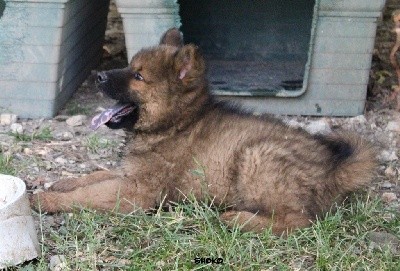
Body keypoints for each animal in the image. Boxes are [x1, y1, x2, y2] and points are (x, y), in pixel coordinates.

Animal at [32, 28, 378, 235]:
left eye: (139, 77)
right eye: (130, 67)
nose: (98, 76)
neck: (174, 124)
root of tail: (333, 169)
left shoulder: (137, 192)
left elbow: (87, 194)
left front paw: (44, 199)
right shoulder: (128, 175)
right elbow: (94, 177)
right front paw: (63, 182)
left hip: (257, 157)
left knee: (297, 221)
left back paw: (237, 219)